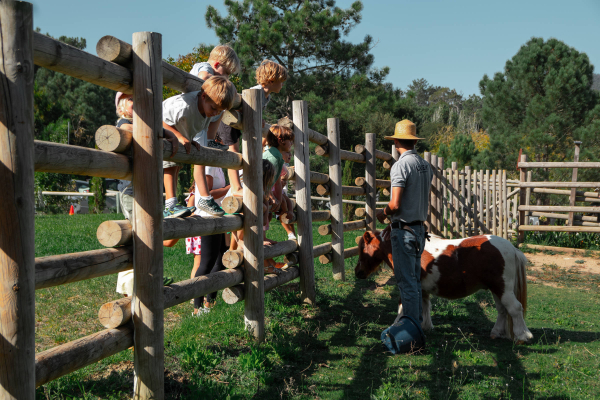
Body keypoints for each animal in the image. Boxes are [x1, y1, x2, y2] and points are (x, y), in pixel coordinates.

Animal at [354, 227, 532, 342]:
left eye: (363, 248)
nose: (358, 272)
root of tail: (512, 248)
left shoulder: (407, 286)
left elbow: (402, 307)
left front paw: (396, 327)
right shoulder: (422, 289)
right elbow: (425, 307)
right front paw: (425, 326)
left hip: (503, 289)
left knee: (515, 308)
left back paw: (523, 335)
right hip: (496, 289)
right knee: (502, 310)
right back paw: (497, 332)